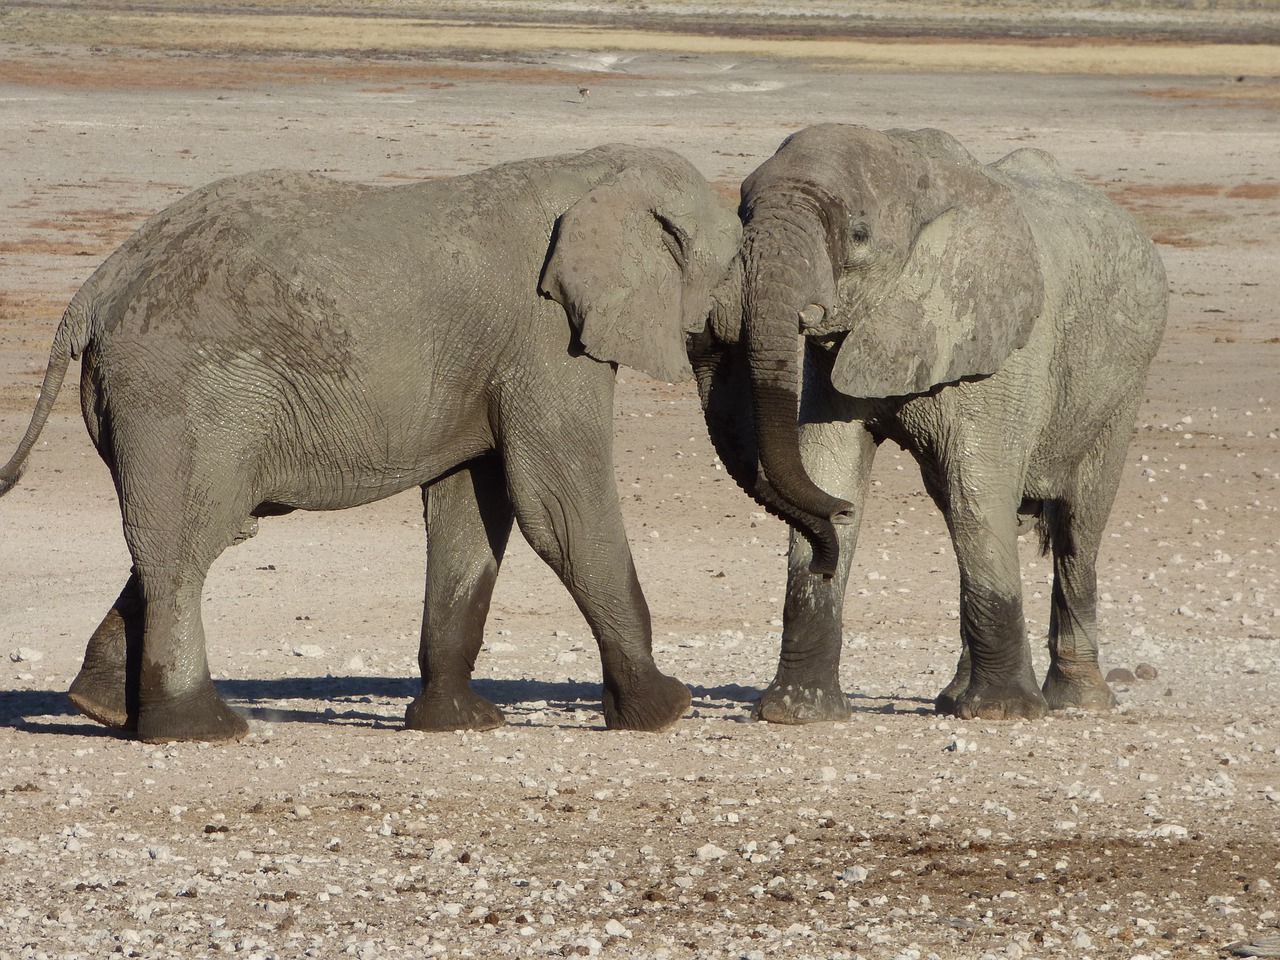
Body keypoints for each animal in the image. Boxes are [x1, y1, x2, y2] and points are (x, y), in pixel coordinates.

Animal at [0, 142, 742, 742]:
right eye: (738, 258)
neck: (593, 171)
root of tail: (93, 290)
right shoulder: (546, 336)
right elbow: (557, 505)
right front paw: (665, 712)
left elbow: (470, 510)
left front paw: (457, 724)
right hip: (183, 390)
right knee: (188, 541)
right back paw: (202, 730)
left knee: (196, 530)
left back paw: (99, 707)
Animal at [691, 122, 1172, 721]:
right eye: (741, 214)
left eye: (859, 235)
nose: (711, 323)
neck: (917, 175)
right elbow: (830, 469)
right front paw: (797, 713)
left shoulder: (1005, 346)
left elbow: (978, 491)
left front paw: (1003, 713)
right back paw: (952, 698)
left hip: (1124, 382)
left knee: (1075, 526)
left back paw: (1076, 700)